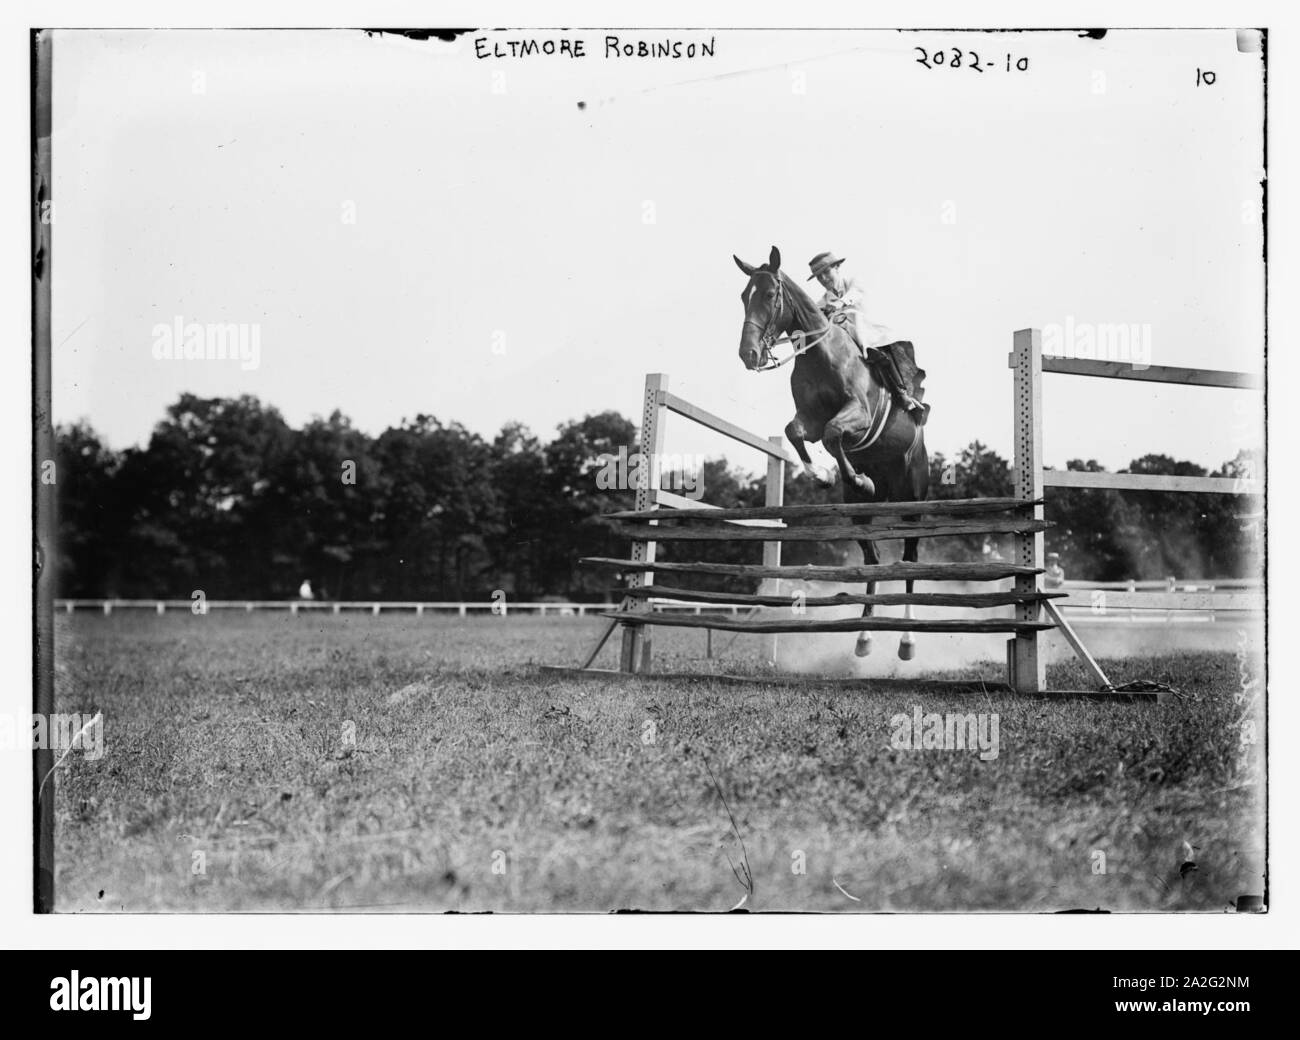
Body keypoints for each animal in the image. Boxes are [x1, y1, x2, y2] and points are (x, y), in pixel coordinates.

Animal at [734, 245, 930, 659]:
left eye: (771, 295)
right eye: (744, 296)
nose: (748, 354)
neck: (821, 354)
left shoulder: (858, 414)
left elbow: (832, 434)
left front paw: (855, 476)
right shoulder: (807, 417)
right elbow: (797, 433)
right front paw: (826, 476)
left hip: (914, 501)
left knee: (910, 561)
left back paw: (907, 640)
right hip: (861, 516)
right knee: (873, 561)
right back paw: (865, 637)